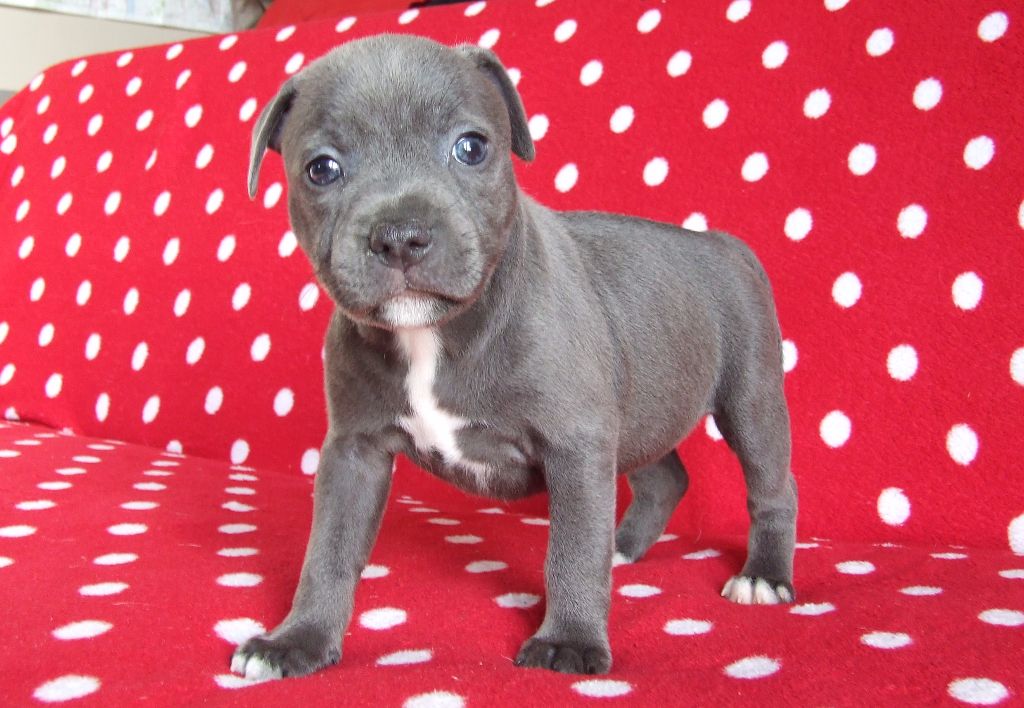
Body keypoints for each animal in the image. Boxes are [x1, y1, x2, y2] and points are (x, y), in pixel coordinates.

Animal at [233, 33, 797, 680]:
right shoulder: (354, 450)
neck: (435, 333)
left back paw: (763, 576)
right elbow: (327, 548)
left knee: (771, 484)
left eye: (471, 148)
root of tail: (723, 243)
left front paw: (570, 639)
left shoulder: (576, 444)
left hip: (751, 399)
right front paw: (296, 640)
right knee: (663, 476)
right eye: (321, 169)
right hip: (640, 406)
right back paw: (624, 547)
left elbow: (572, 551)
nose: (399, 235)